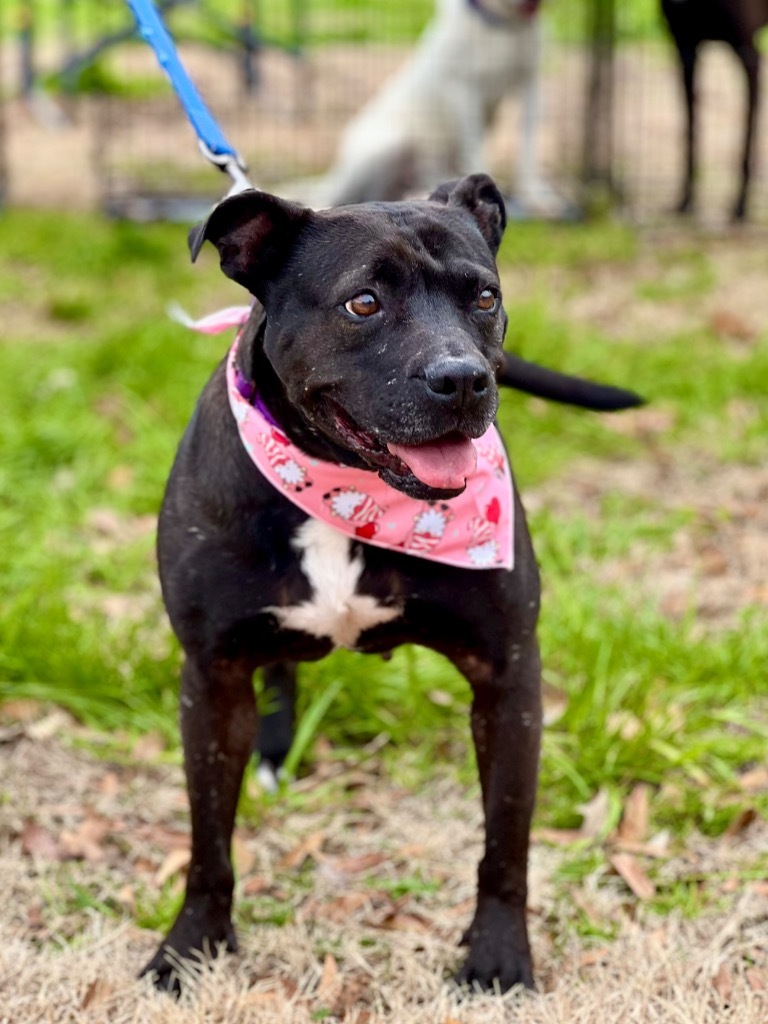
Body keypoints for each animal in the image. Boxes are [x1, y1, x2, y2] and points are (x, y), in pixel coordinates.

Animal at [145, 176, 643, 991]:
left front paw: (499, 954)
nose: (463, 378)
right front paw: (191, 946)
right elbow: (208, 839)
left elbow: (506, 840)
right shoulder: (211, 679)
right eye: (363, 303)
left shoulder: (507, 677)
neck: (349, 491)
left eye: (484, 296)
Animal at [294, 0, 565, 210]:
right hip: (390, 146)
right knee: (346, 197)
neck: (503, 26)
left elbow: (528, 148)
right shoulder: (464, 91)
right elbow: (476, 148)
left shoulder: (529, 84)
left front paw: (535, 196)